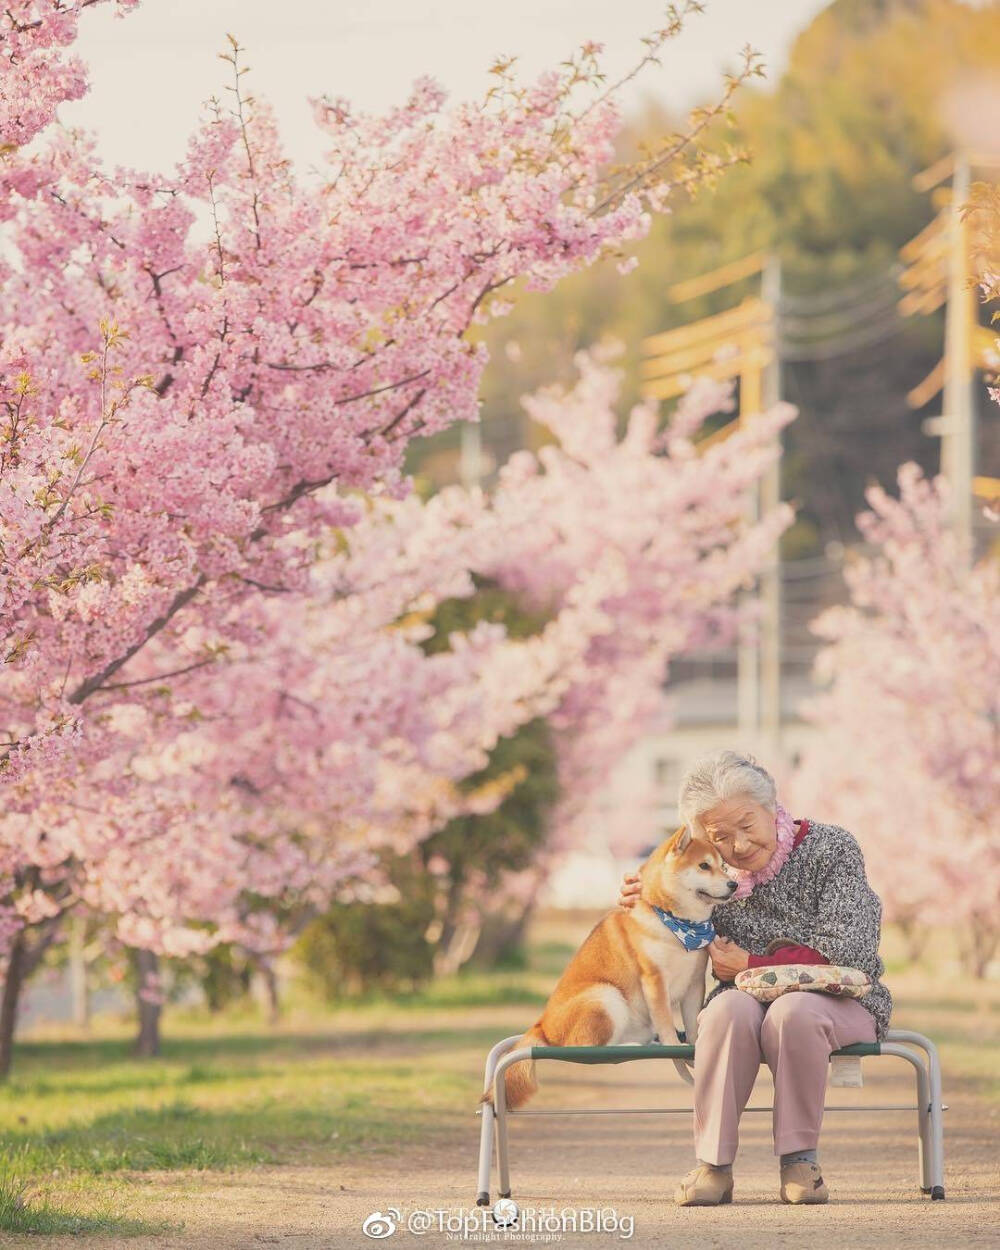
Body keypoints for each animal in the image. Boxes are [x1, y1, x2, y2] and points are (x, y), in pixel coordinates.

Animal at [480, 825, 740, 1110]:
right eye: (704, 866)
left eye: (723, 866)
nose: (734, 884)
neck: (677, 925)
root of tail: (541, 1025)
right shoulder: (654, 979)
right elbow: (666, 1023)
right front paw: (673, 1046)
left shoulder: (694, 982)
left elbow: (692, 1024)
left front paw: (694, 1048)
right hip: (605, 996)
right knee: (588, 1049)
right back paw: (633, 1047)